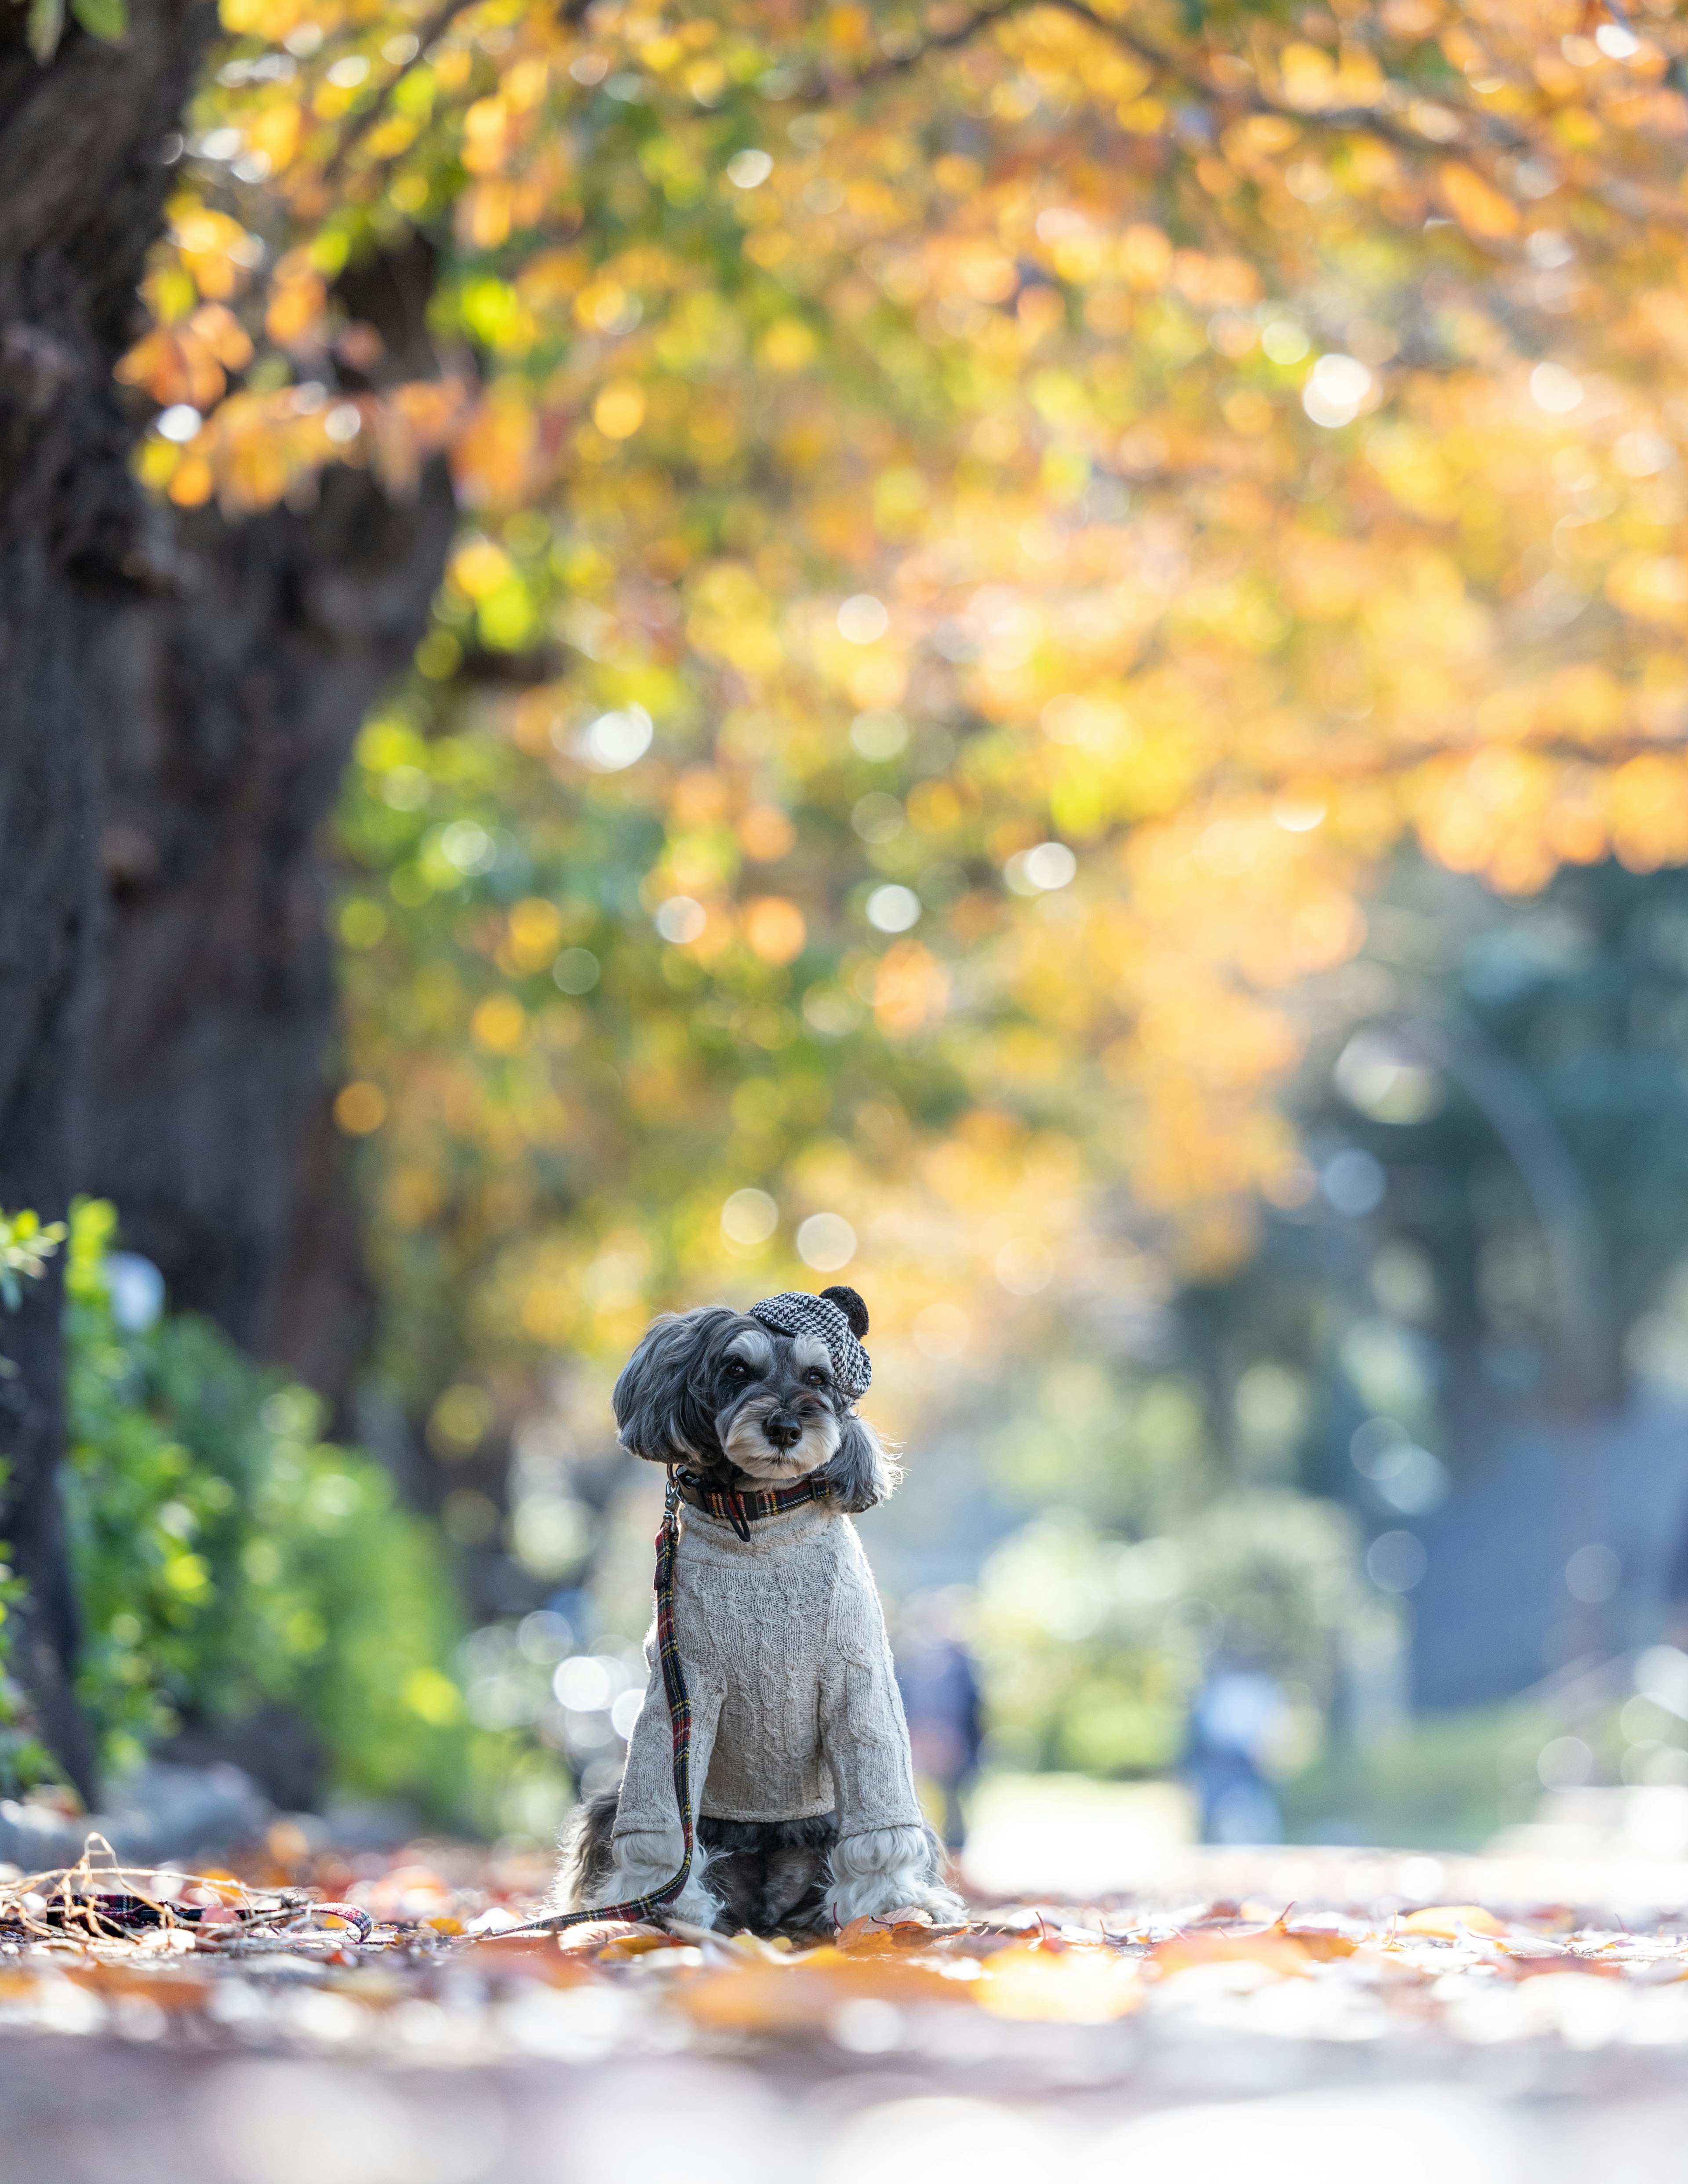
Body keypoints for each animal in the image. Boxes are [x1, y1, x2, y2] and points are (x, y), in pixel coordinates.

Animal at [546, 1284, 956, 1939]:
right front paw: (653, 1907)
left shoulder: (859, 1683)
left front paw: (895, 1906)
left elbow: (880, 1819)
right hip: (618, 1799)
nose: (786, 1426)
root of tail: (766, 1911)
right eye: (737, 1369)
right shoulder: (681, 1693)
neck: (757, 1518)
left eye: (818, 1376)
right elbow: (657, 1831)